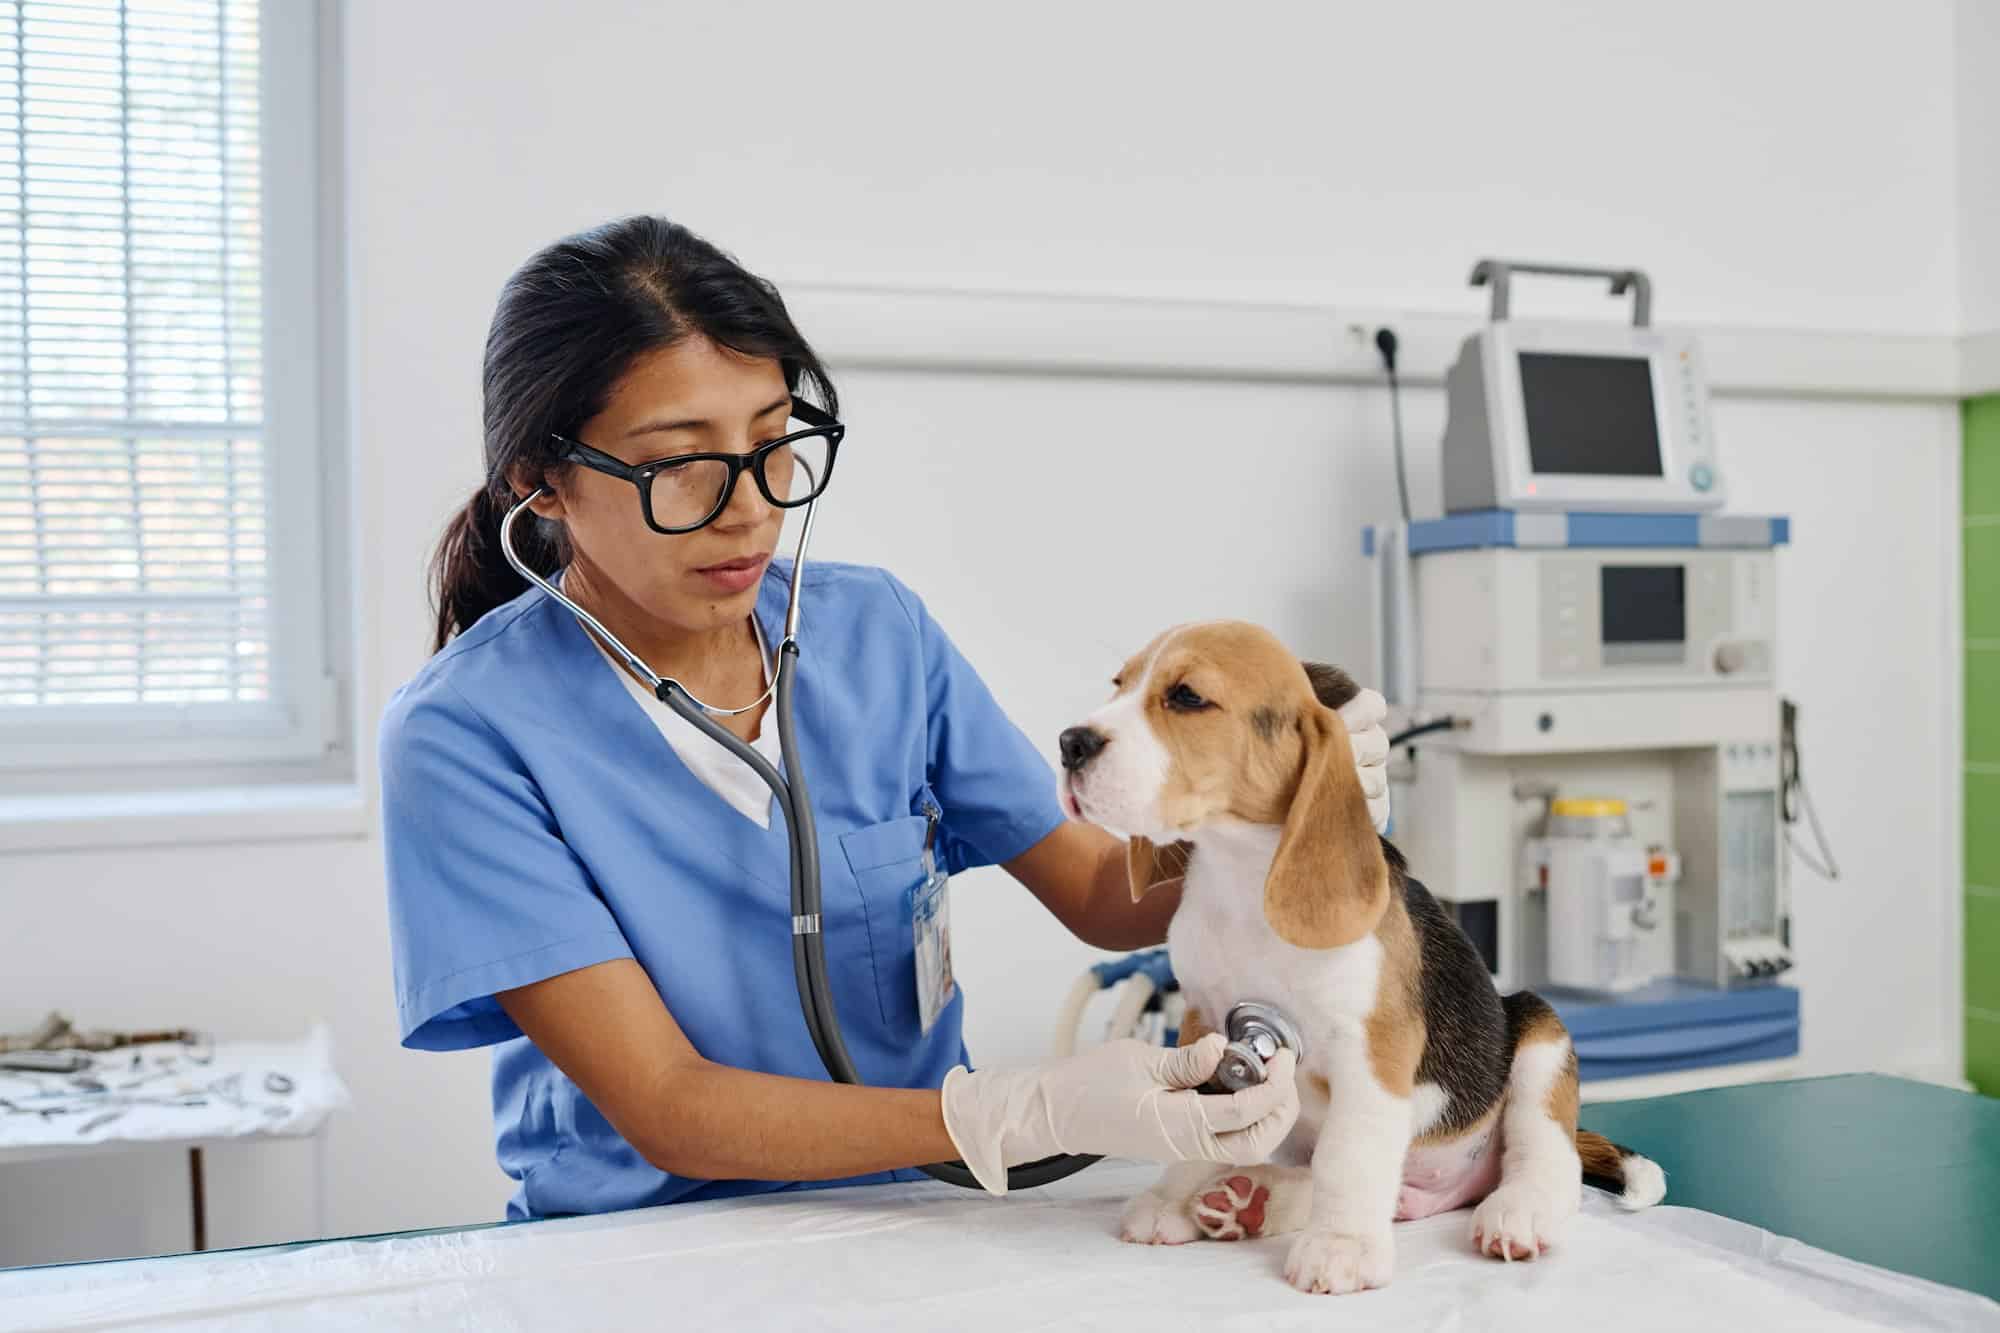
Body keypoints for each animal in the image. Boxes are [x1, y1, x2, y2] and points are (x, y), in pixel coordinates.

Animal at [1056, 620, 1664, 1288]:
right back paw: (1248, 1199)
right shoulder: (1201, 1025)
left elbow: (1348, 1156)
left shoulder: (1372, 1050)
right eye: (1119, 685)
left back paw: (1517, 1212)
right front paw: (1172, 1197)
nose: (1070, 743)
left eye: (1187, 697)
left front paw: (1340, 1247)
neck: (1241, 879)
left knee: (1546, 1158)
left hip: (1539, 1036)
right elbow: (1197, 1126)